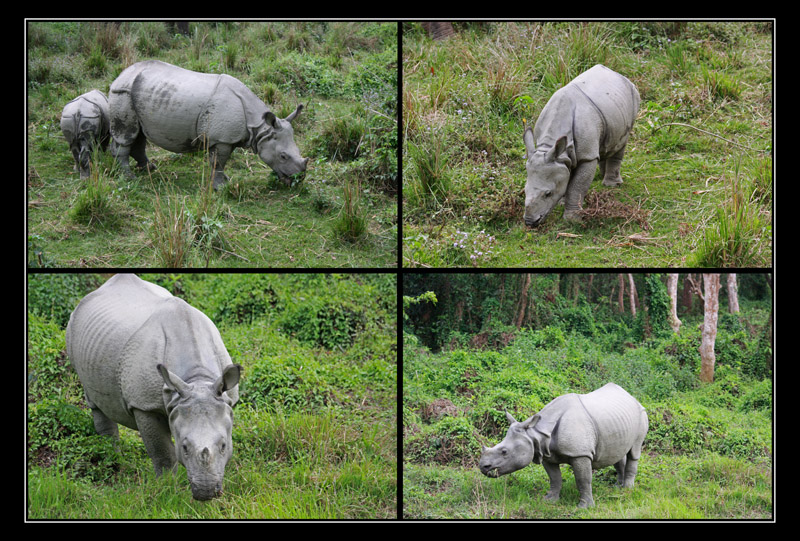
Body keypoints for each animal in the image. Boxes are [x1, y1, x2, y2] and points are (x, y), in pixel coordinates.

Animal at [65, 274, 242, 500]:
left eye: (223, 446)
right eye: (184, 447)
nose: (206, 492)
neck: (197, 380)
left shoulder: (226, 399)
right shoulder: (144, 405)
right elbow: (163, 454)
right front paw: (167, 489)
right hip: (72, 330)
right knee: (94, 402)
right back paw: (113, 462)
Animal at [108, 60, 309, 189]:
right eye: (283, 156)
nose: (299, 178)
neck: (259, 127)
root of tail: (121, 74)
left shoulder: (228, 137)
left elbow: (220, 163)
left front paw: (224, 180)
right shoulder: (222, 139)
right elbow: (218, 162)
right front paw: (221, 187)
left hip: (137, 94)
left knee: (139, 134)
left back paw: (149, 169)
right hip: (122, 93)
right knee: (127, 134)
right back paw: (129, 177)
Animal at [479, 383, 648, 508]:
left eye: (504, 451)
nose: (483, 467)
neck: (536, 433)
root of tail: (632, 397)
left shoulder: (580, 453)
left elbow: (583, 479)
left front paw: (584, 507)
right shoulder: (545, 453)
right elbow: (555, 478)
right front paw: (549, 500)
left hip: (641, 413)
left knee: (634, 452)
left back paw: (627, 489)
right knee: (617, 453)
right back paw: (617, 487)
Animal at [523, 64, 640, 226]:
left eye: (548, 194)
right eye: (524, 190)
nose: (530, 222)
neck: (549, 144)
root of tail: (618, 74)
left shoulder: (587, 156)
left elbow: (577, 186)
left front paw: (572, 220)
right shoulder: (560, 156)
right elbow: (566, 175)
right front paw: (562, 202)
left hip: (633, 96)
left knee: (621, 142)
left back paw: (612, 185)